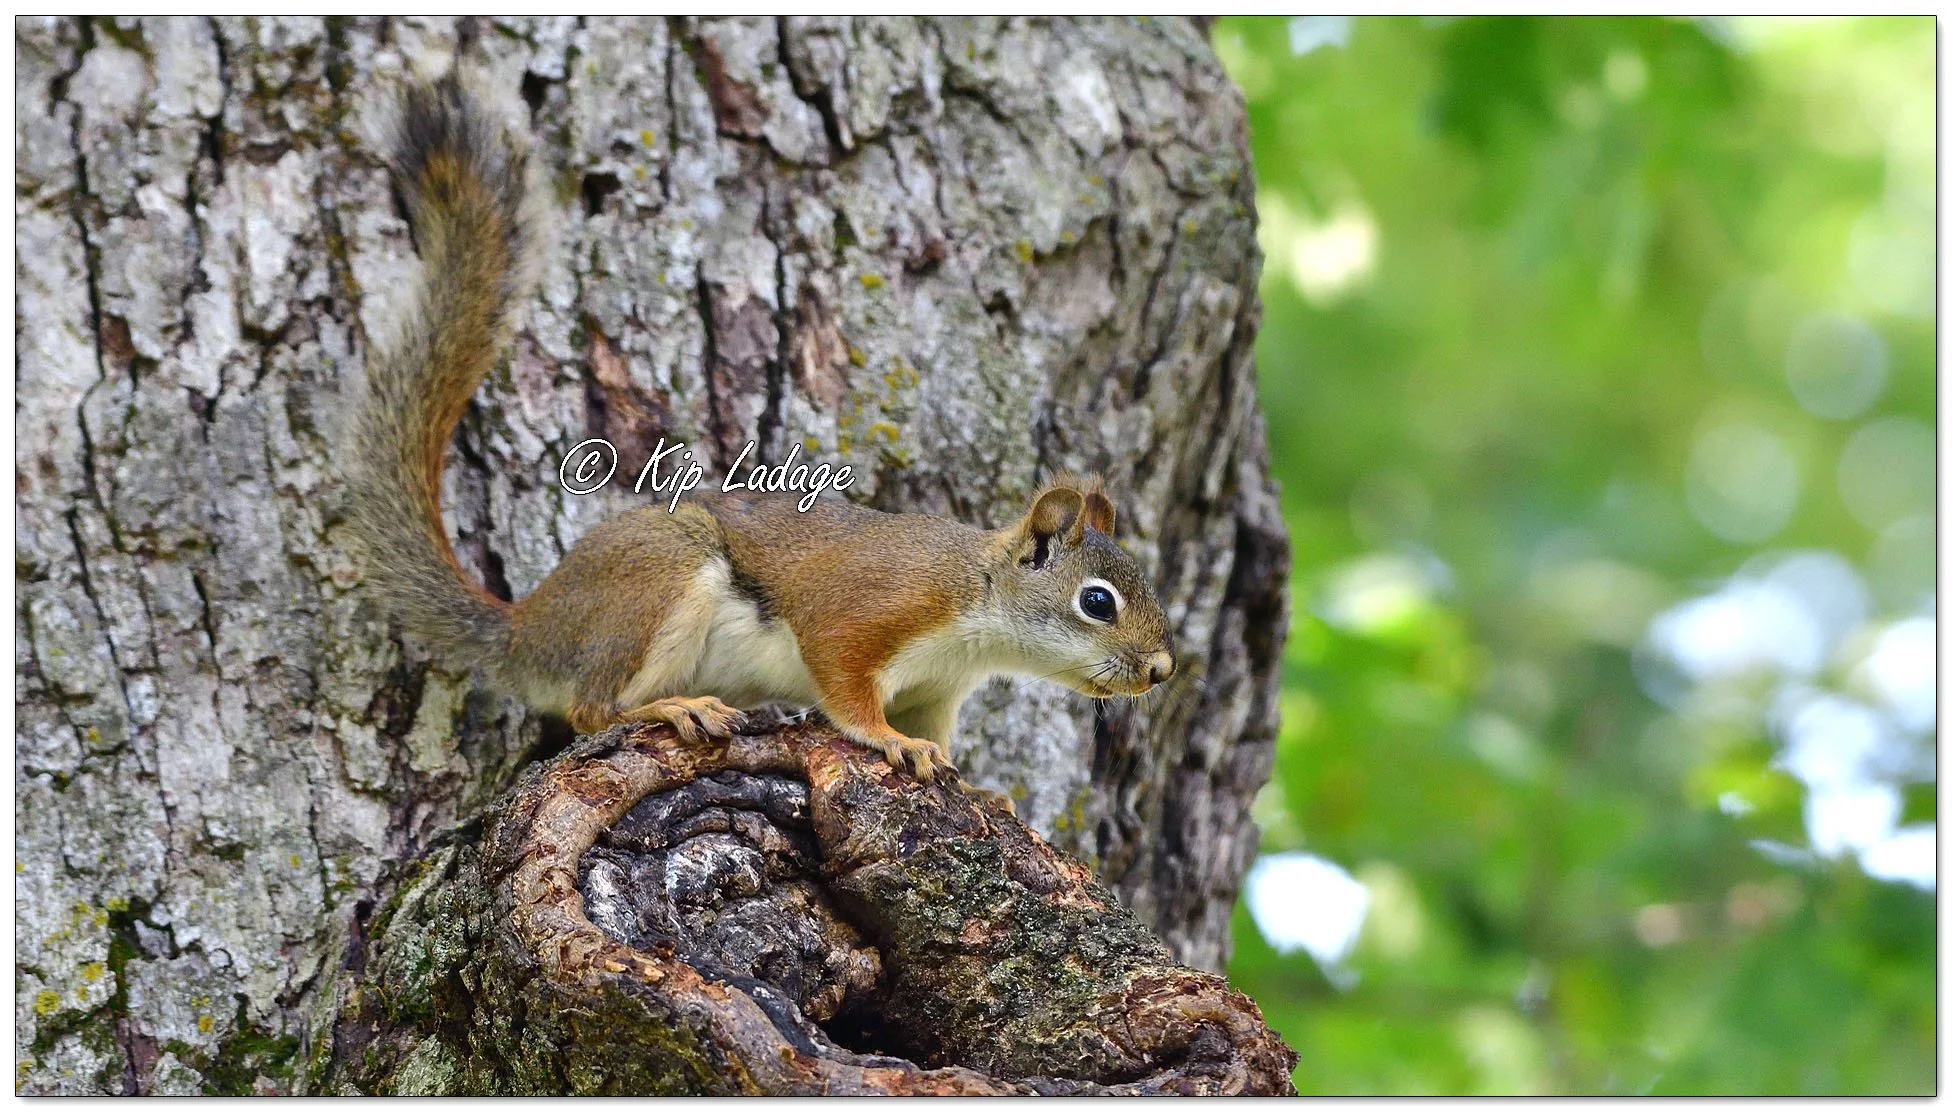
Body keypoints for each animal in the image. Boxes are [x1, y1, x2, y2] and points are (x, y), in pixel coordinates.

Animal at [346, 79, 1176, 794]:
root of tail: (526, 631)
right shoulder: (871, 610)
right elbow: (846, 686)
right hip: (657, 581)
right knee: (591, 708)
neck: (976, 604)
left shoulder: (938, 689)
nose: (1162, 671)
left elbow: (935, 731)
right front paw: (892, 742)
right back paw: (674, 706)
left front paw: (970, 783)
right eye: (1097, 603)